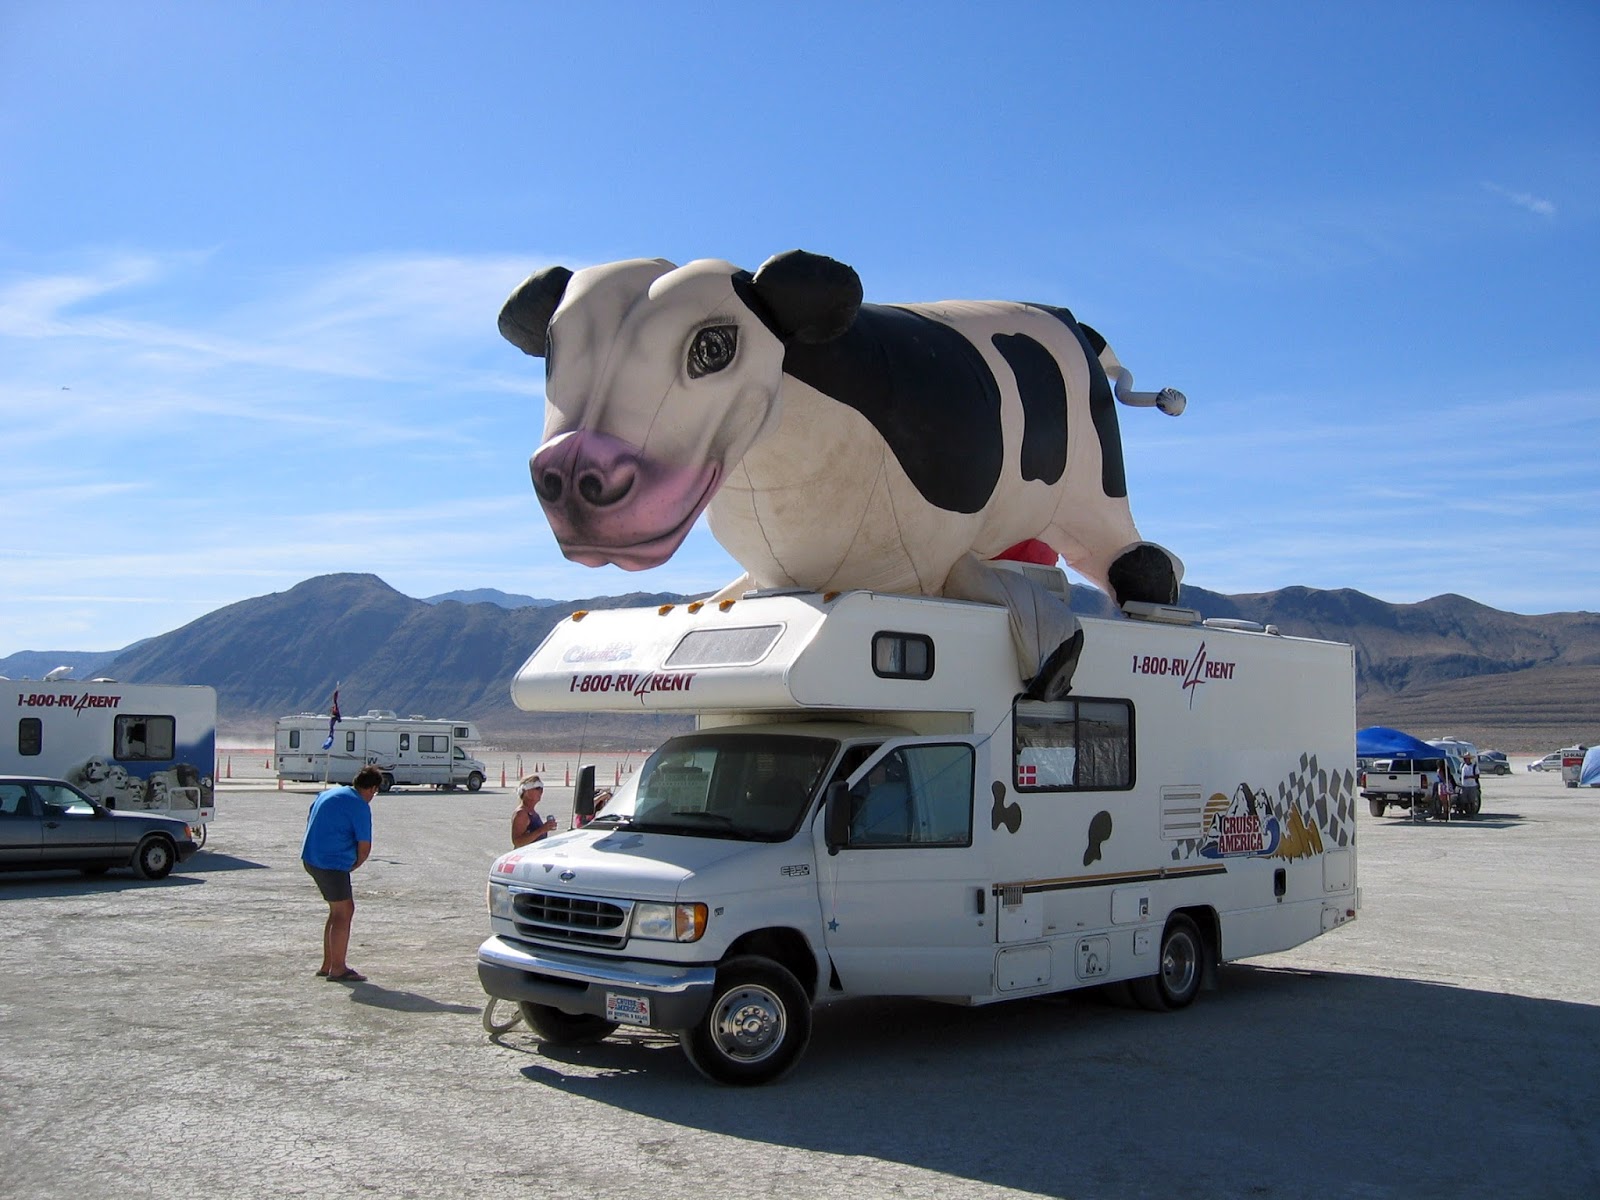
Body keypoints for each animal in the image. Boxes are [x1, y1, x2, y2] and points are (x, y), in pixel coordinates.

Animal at [499, 250, 1186, 695]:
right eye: (553, 349)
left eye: (715, 346)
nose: (573, 471)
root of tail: (1071, 320)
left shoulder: (943, 553)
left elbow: (993, 585)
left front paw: (1054, 655)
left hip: (1094, 488)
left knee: (1141, 563)